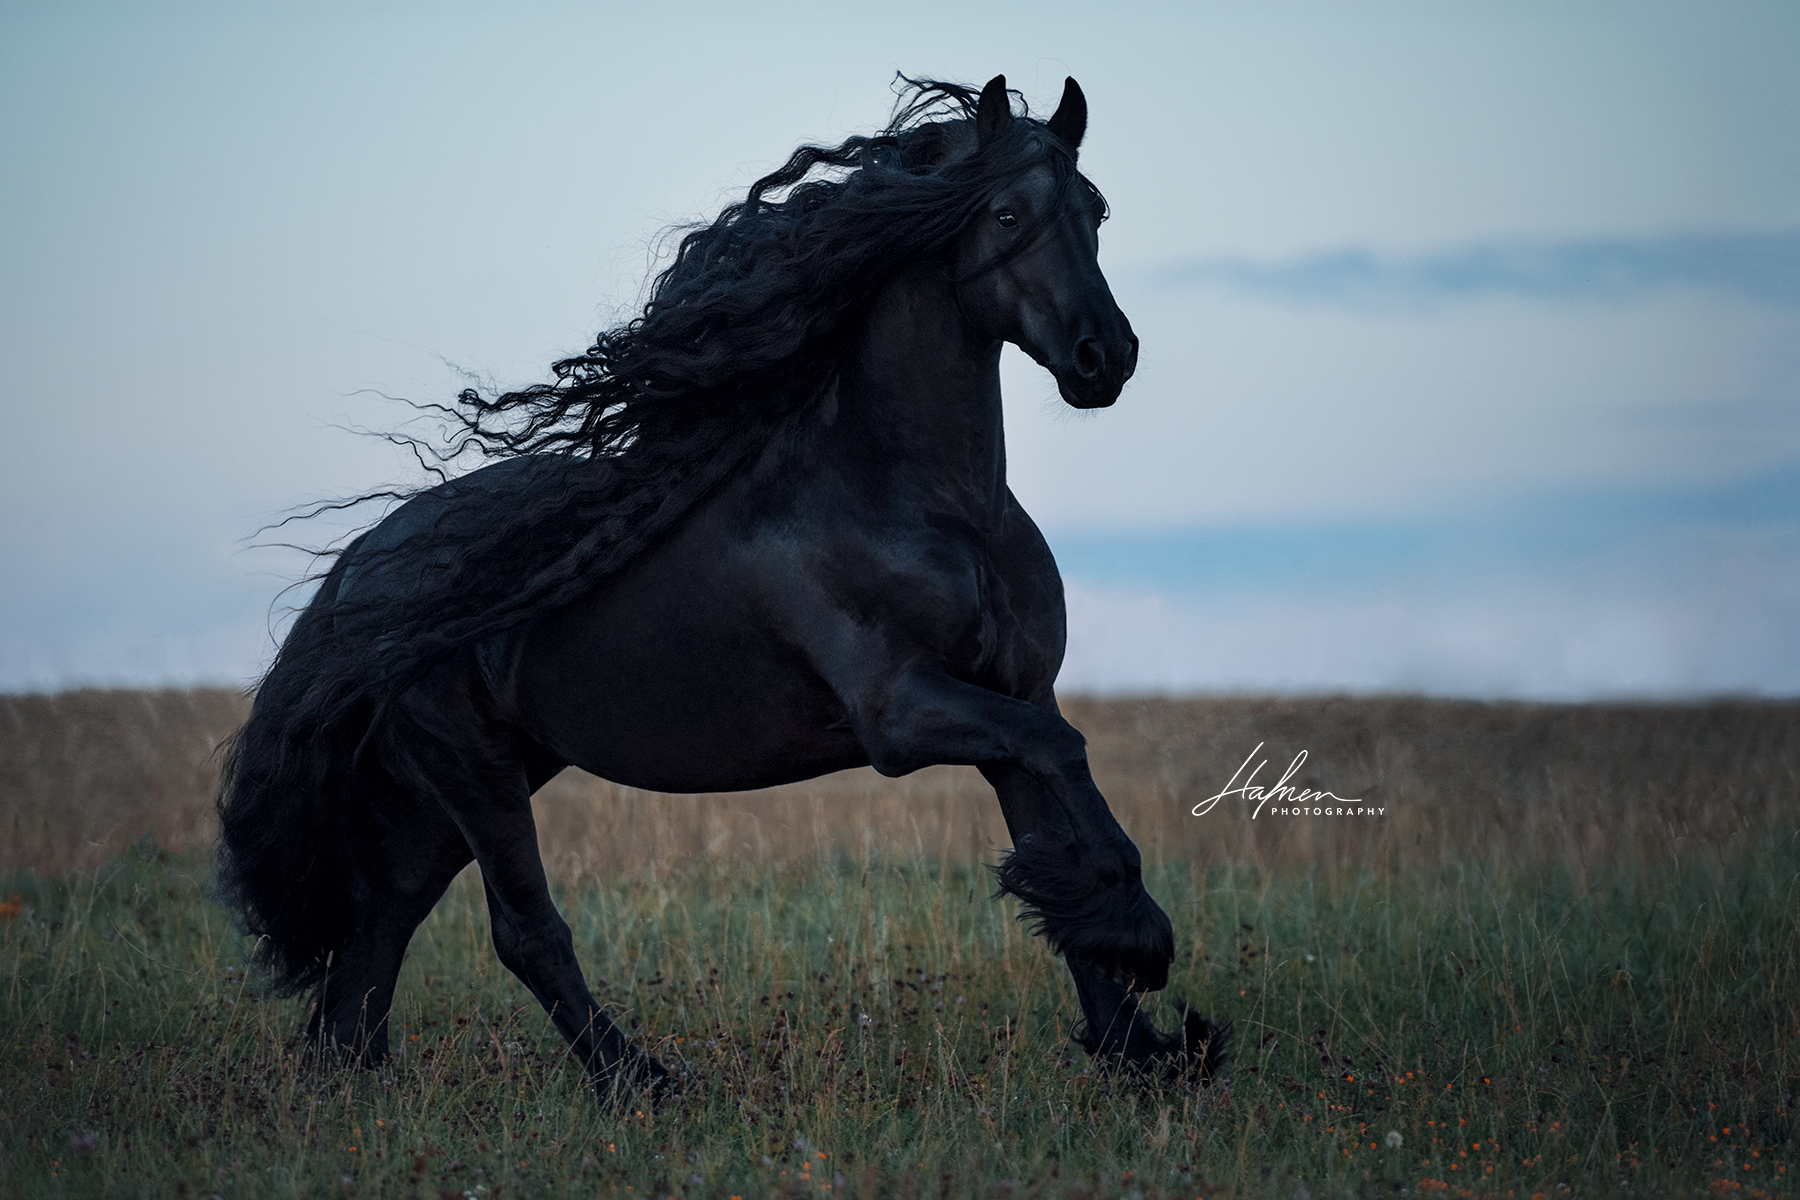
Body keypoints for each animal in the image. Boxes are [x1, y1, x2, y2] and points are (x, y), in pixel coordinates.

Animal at [214, 77, 1224, 1108]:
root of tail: (358, 570)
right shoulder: (900, 712)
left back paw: (355, 1081)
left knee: (382, 921)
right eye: (1009, 214)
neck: (924, 502)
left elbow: (1057, 816)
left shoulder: (1012, 697)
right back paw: (643, 1083)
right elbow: (1072, 769)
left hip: (456, 788)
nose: (1105, 357)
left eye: (1095, 211)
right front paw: (1144, 945)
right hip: (474, 772)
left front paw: (1138, 1046)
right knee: (523, 933)